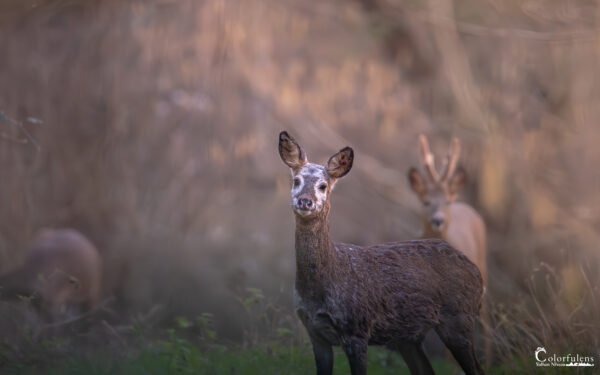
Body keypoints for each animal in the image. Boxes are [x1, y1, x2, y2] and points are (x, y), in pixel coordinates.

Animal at [280, 132, 482, 375]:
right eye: (296, 180)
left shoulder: (356, 330)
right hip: (408, 337)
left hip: (459, 317)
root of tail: (476, 272)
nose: (305, 201)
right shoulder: (315, 333)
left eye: (323, 185)